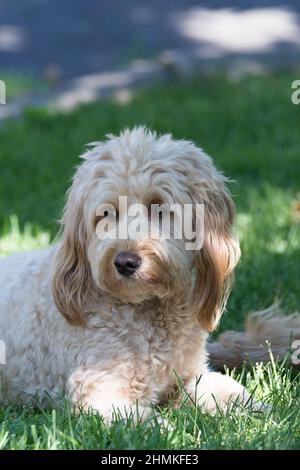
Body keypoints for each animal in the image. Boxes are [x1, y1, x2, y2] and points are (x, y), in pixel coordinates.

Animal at [0, 127, 298, 422]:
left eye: (159, 207)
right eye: (107, 213)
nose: (125, 262)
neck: (147, 310)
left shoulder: (194, 378)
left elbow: (233, 394)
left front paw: (270, 416)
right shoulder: (100, 394)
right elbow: (151, 423)